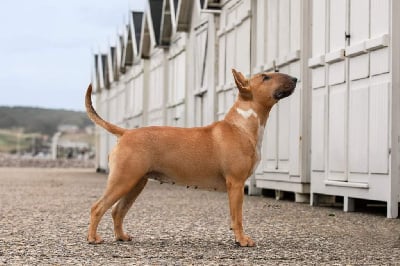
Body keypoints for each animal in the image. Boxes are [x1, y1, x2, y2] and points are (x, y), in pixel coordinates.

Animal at [85, 69, 296, 247]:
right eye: (265, 77)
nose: (295, 79)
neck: (241, 125)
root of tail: (125, 133)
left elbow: (233, 216)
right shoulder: (236, 183)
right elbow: (238, 217)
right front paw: (242, 240)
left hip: (136, 183)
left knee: (117, 210)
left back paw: (121, 236)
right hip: (123, 180)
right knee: (97, 207)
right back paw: (93, 238)